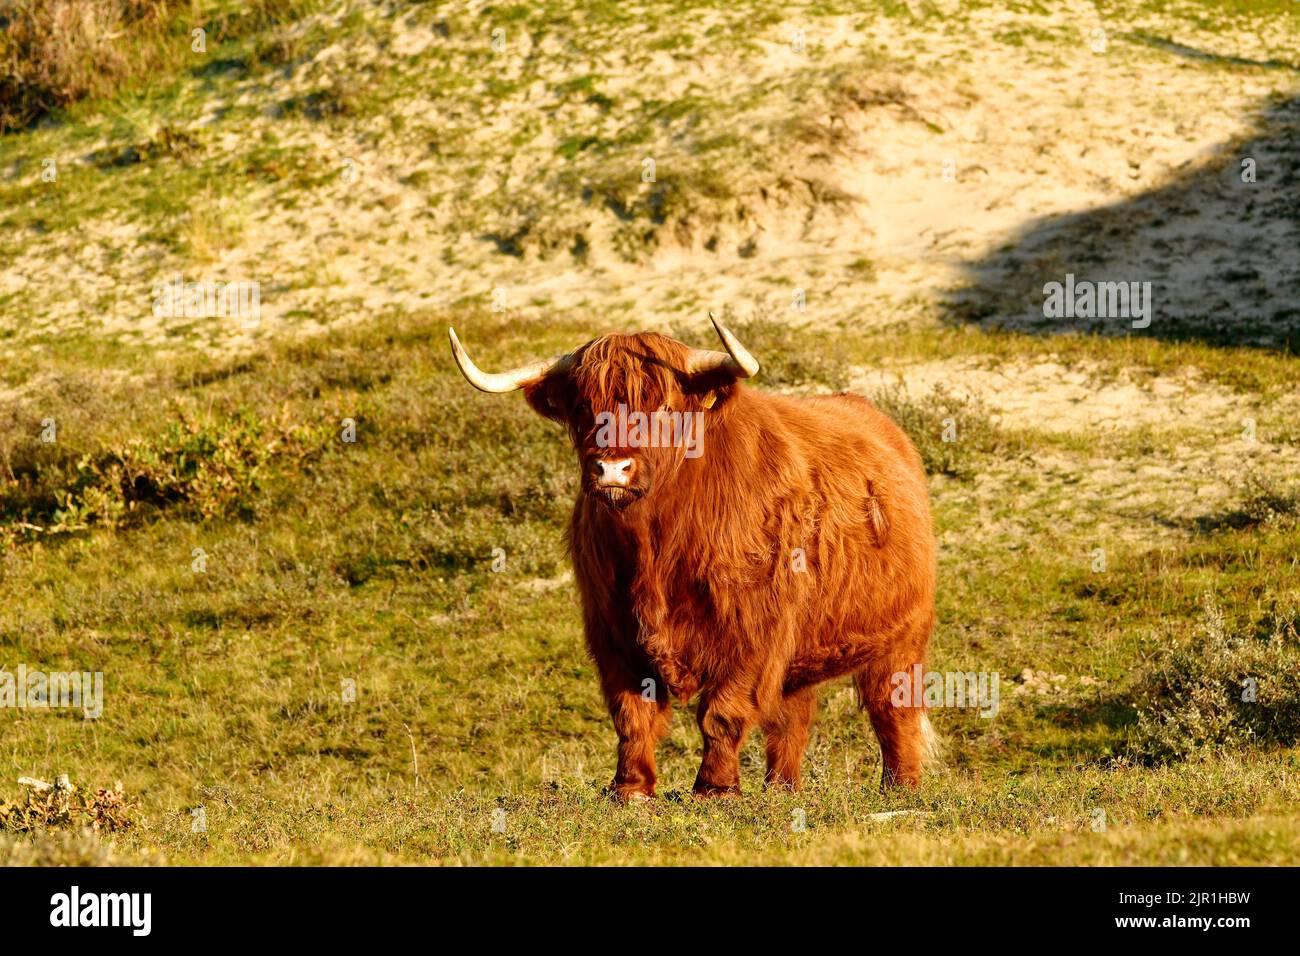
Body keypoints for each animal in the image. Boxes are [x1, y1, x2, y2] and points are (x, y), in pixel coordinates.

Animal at [449, 316, 935, 801]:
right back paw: (782, 790)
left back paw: (901, 789)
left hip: (902, 637)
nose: (612, 469)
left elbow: (723, 712)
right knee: (791, 719)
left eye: (663, 407)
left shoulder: (753, 629)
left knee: (892, 709)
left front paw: (714, 788)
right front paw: (630, 788)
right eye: (585, 407)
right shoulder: (612, 629)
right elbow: (631, 714)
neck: (655, 547)